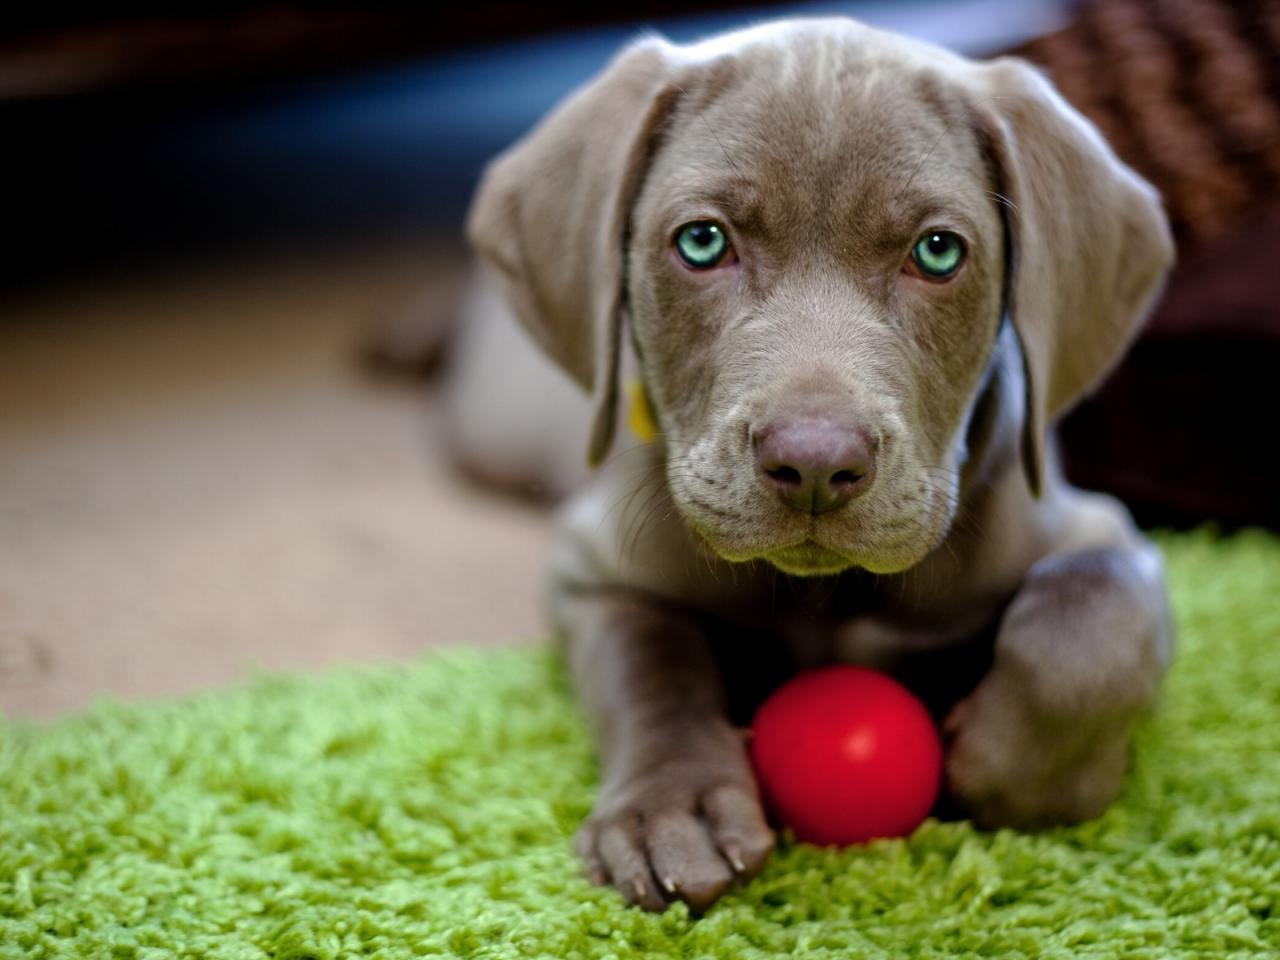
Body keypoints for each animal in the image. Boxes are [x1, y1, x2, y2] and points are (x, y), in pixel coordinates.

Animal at [455, 18, 1172, 911]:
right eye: (702, 241)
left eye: (939, 252)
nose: (817, 465)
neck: (828, 594)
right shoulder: (592, 570)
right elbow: (649, 660)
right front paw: (670, 811)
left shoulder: (1102, 533)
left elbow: (1085, 629)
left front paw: (1015, 770)